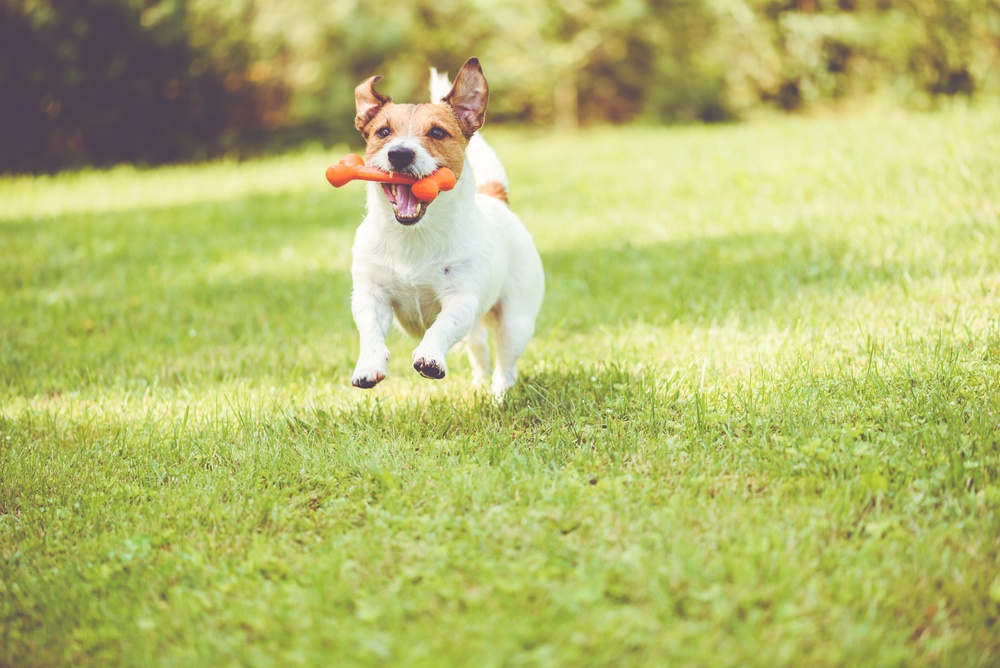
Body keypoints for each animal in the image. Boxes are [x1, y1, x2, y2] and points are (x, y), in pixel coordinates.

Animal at [346, 58, 548, 396]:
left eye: (438, 132)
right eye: (383, 132)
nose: (399, 153)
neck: (414, 236)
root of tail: (496, 199)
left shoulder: (462, 299)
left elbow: (442, 327)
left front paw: (430, 357)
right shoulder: (370, 294)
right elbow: (370, 329)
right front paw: (368, 365)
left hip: (515, 321)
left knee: (505, 364)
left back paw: (498, 395)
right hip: (477, 331)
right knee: (480, 352)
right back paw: (479, 385)